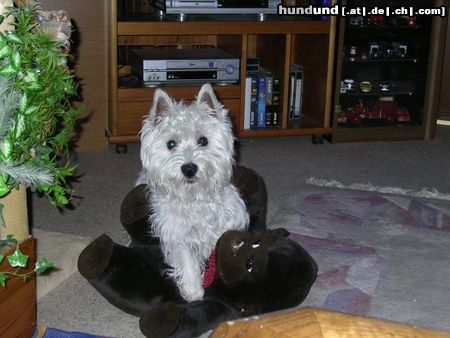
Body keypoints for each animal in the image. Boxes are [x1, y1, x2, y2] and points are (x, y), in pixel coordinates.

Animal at [138, 84, 250, 302]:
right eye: (171, 144)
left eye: (203, 140)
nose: (189, 169)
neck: (194, 197)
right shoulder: (175, 232)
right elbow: (186, 258)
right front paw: (193, 290)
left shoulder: (232, 216)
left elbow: (222, 237)